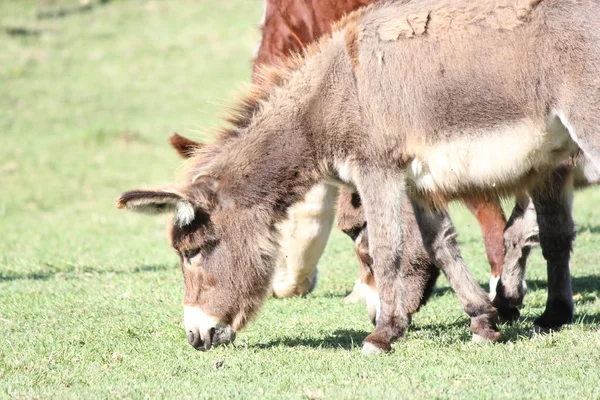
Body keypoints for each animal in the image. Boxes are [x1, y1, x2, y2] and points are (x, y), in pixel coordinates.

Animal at [117, 0, 600, 354]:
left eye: (192, 253)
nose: (195, 337)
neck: (332, 93)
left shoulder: (376, 169)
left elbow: (390, 249)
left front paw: (383, 335)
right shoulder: (419, 182)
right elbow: (440, 245)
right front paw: (483, 321)